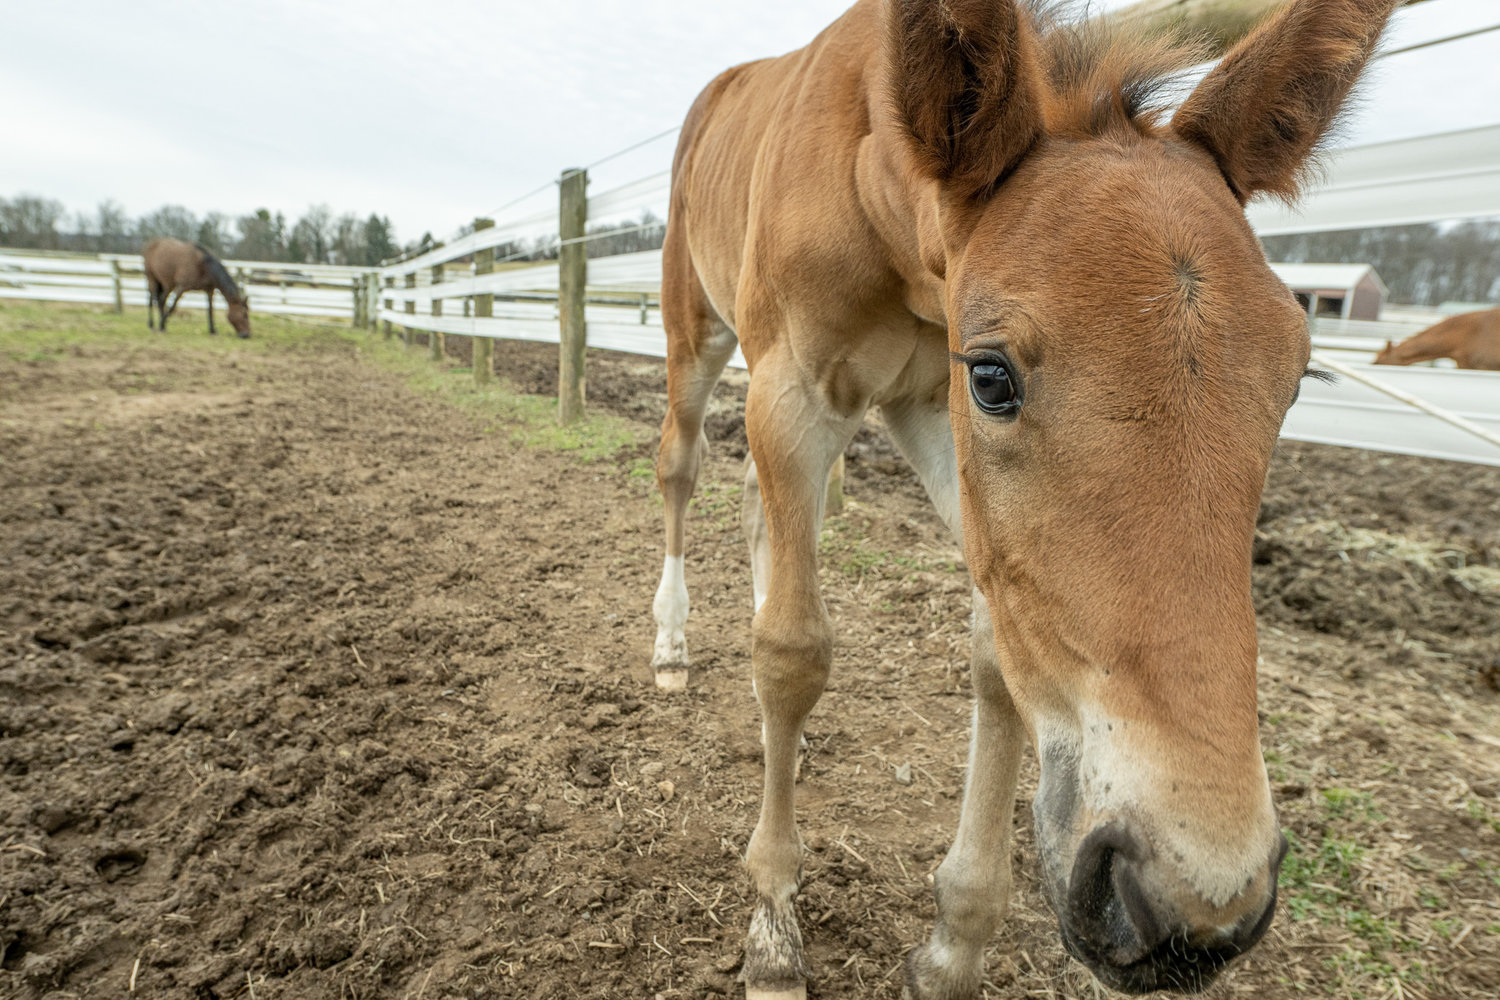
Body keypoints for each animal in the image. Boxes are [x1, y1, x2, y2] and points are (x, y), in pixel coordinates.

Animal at [651, 1, 1398, 1000]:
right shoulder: (796, 392)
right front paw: (773, 930)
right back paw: (671, 643)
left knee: (754, 509)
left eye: (1295, 380)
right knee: (682, 468)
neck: (877, 192)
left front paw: (953, 947)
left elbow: (995, 649)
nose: (1195, 910)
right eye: (995, 377)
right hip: (697, 328)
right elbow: (792, 651)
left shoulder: (929, 409)